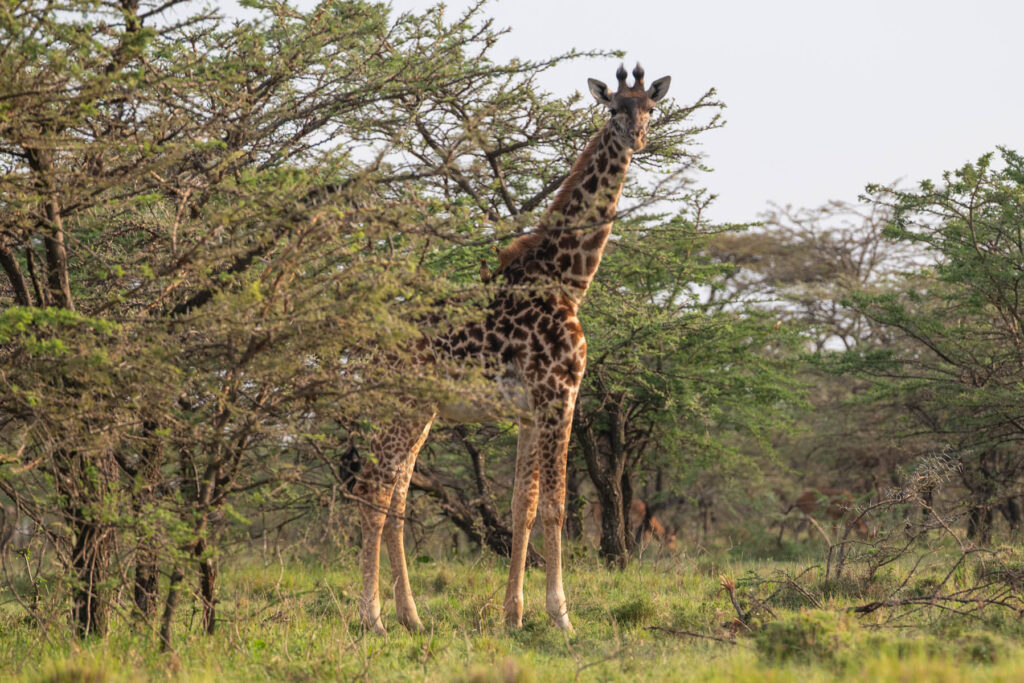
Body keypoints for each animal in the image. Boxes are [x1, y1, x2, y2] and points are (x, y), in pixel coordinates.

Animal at [354, 63, 671, 635]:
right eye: (614, 108)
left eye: (651, 108)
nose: (635, 137)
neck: (566, 280)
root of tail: (366, 346)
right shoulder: (559, 393)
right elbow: (556, 507)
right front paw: (561, 617)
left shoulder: (529, 409)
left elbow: (523, 504)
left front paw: (513, 615)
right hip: (403, 405)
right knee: (375, 492)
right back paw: (373, 619)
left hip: (418, 410)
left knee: (397, 495)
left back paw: (412, 617)